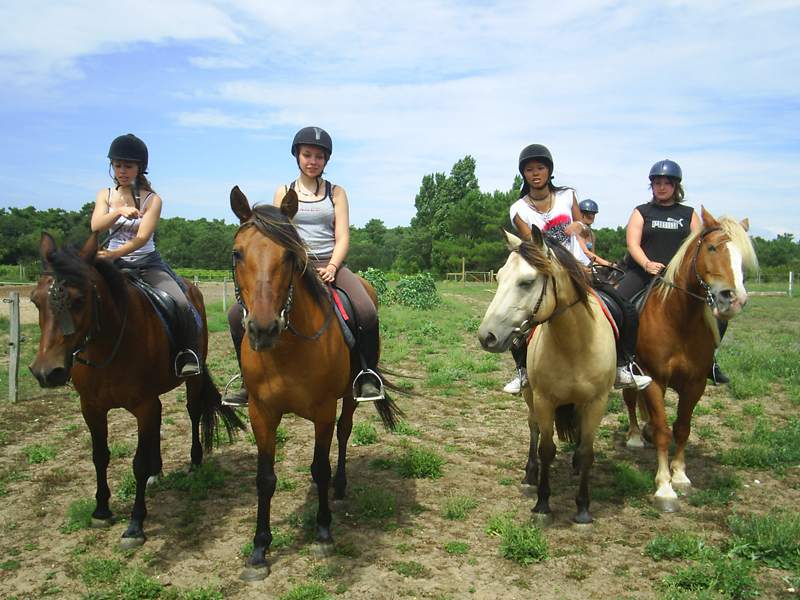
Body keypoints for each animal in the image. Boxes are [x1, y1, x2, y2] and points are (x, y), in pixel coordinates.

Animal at [28, 233, 244, 548]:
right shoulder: (91, 407)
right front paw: (101, 511)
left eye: (80, 300)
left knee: (192, 413)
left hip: (190, 378)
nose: (46, 372)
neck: (108, 346)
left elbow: (137, 463)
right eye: (35, 300)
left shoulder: (143, 404)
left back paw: (194, 462)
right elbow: (100, 455)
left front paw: (134, 526)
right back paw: (157, 472)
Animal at [228, 185, 404, 580]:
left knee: (344, 433)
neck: (286, 350)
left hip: (349, 398)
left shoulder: (323, 411)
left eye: (289, 257)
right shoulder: (261, 413)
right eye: (237, 253)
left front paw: (323, 532)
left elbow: (321, 466)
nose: (263, 329)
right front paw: (259, 549)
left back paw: (340, 485)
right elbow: (265, 478)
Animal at [478, 230, 616, 524]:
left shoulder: (596, 402)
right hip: (530, 395)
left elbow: (586, 451)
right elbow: (546, 448)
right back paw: (530, 476)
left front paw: (583, 508)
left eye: (527, 282)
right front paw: (542, 504)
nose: (487, 337)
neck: (575, 345)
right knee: (533, 428)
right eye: (498, 277)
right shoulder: (544, 400)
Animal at [620, 207, 760, 510]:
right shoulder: (654, 379)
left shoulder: (696, 383)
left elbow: (682, 428)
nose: (733, 299)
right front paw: (664, 487)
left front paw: (681, 476)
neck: (678, 318)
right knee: (630, 400)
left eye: (742, 256)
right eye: (711, 247)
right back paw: (636, 437)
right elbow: (663, 429)